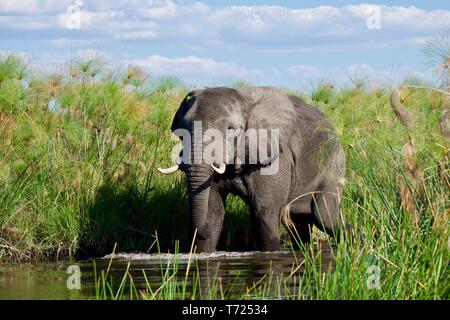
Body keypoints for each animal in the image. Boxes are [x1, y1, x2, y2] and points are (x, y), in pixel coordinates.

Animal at [158, 87, 348, 252]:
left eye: (230, 129)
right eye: (181, 131)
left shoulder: (275, 156)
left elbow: (263, 211)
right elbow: (213, 209)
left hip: (334, 161)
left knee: (324, 216)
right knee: (299, 223)